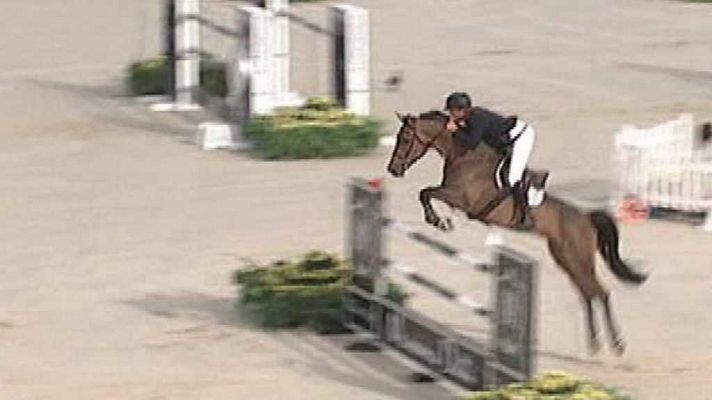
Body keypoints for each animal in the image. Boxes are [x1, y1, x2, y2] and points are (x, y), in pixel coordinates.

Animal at [386, 111, 648, 354]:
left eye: (406, 137)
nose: (393, 170)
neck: (463, 155)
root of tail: (586, 218)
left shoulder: (461, 199)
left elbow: (426, 192)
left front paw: (438, 221)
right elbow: (426, 193)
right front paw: (439, 220)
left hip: (579, 258)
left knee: (600, 293)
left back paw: (617, 344)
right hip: (566, 259)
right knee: (588, 294)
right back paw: (595, 344)